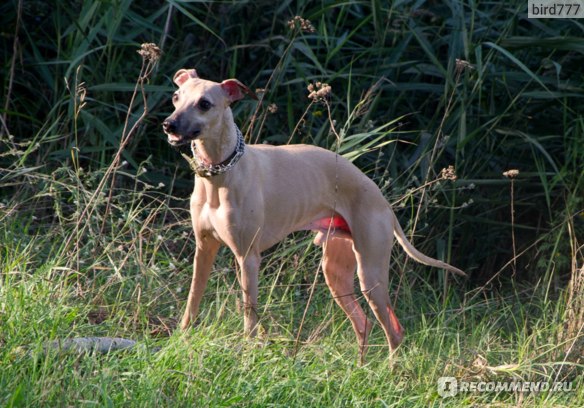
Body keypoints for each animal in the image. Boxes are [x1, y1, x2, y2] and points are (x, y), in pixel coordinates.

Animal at [162, 68, 464, 358]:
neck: (220, 173)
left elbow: (249, 317)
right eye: (176, 97)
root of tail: (383, 202)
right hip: (337, 273)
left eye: (204, 104)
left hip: (371, 275)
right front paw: (180, 339)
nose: (168, 124)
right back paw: (358, 369)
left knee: (394, 331)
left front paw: (246, 353)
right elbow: (192, 301)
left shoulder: (248, 258)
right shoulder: (204, 249)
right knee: (363, 323)